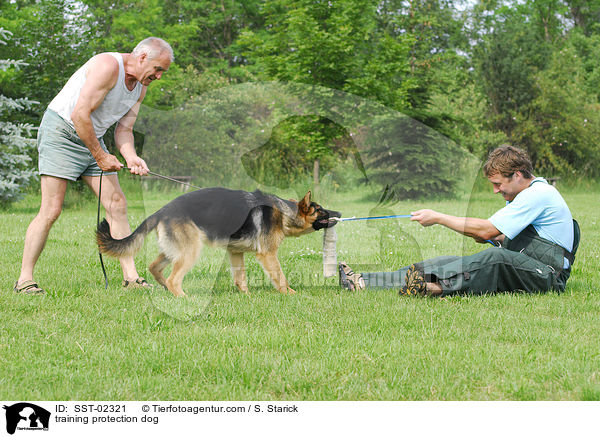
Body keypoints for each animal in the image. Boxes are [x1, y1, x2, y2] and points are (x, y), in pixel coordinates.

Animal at [96, 187, 340, 296]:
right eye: (321, 211)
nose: (338, 212)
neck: (284, 212)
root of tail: (162, 210)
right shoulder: (268, 255)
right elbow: (280, 276)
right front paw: (290, 293)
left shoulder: (236, 252)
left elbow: (240, 277)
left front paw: (246, 296)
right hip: (191, 250)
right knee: (174, 278)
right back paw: (182, 297)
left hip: (173, 250)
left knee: (155, 267)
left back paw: (166, 288)